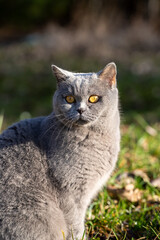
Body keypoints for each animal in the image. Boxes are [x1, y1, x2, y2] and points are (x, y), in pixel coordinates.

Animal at [0, 62, 120, 240]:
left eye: (93, 98)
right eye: (69, 99)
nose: (80, 110)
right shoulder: (71, 191)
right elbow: (76, 223)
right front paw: (81, 237)